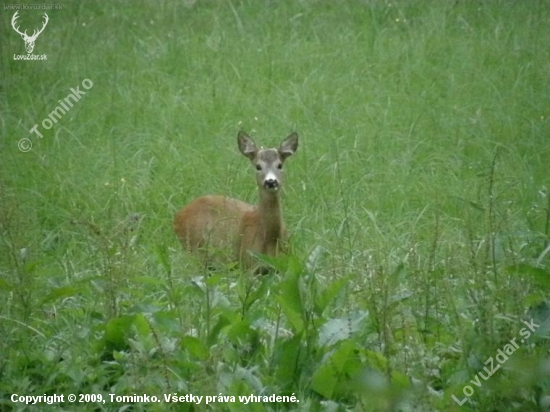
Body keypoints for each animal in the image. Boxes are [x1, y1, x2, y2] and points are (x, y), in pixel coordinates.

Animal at [175, 132, 300, 272]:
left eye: (280, 165)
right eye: (258, 166)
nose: (271, 182)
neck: (270, 239)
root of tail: (177, 216)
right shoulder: (247, 264)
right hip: (194, 249)